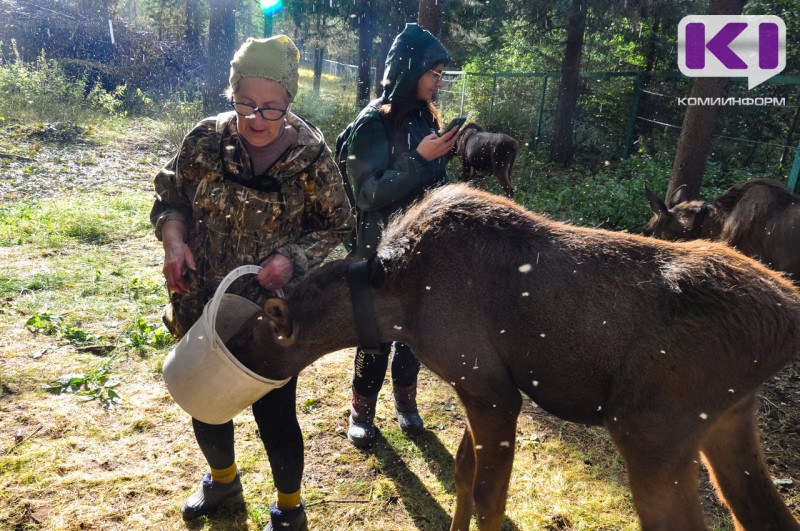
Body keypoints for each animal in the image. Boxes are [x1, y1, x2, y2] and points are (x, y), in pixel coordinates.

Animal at [228, 184, 796, 531]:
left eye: (249, 336)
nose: (229, 352)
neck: (395, 302)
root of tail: (787, 316)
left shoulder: (493, 390)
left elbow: (490, 497)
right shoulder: (477, 383)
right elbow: (463, 472)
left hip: (651, 428)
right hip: (726, 420)